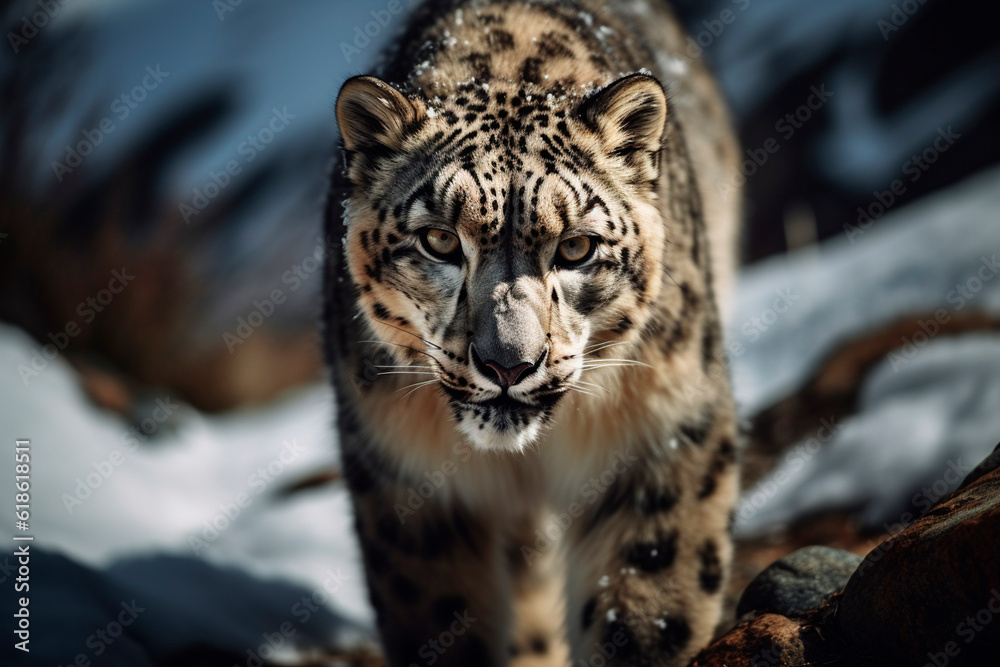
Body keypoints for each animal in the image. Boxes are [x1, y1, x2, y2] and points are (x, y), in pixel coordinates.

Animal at [323, 1, 742, 665]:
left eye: (576, 247)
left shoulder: (662, 437)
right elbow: (439, 617)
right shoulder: (406, 478)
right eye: (439, 240)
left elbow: (649, 604)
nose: (508, 365)